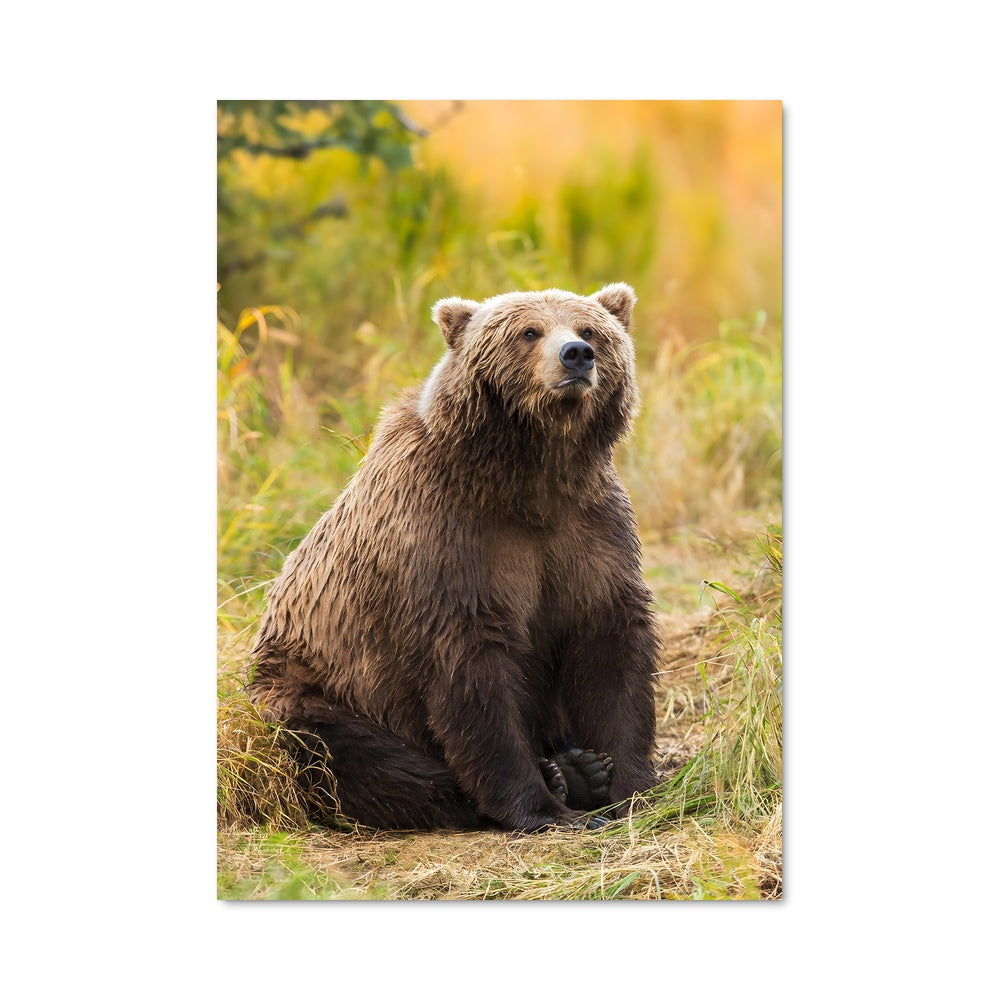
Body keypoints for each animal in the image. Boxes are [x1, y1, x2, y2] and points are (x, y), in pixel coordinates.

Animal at [248, 282, 660, 831]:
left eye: (590, 329)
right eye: (529, 332)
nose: (576, 355)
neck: (528, 478)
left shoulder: (588, 530)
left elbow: (609, 643)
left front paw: (630, 783)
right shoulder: (446, 537)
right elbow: (471, 669)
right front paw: (543, 807)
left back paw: (581, 770)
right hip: (308, 685)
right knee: (349, 753)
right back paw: (553, 778)